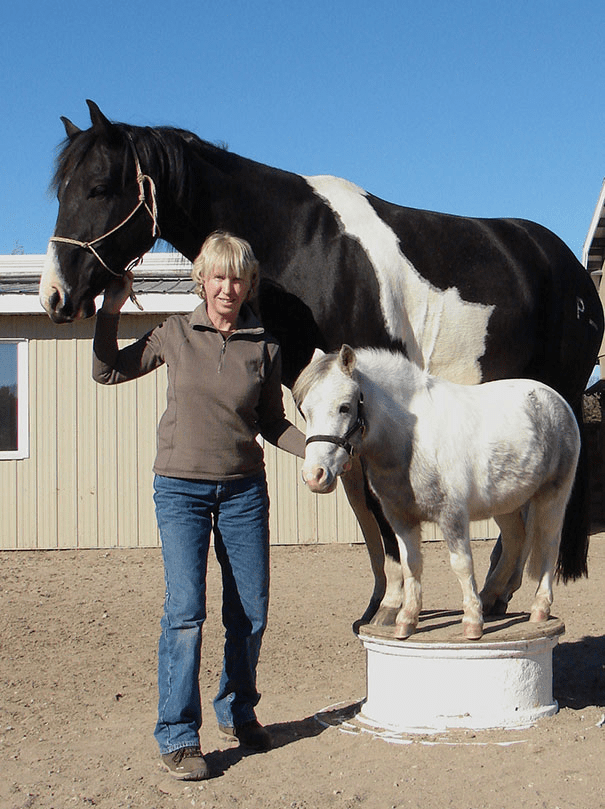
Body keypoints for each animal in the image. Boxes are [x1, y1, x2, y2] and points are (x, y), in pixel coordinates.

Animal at [292, 344, 580, 640]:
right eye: (304, 410)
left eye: (344, 407)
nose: (315, 475)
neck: (411, 439)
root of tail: (554, 399)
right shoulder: (400, 518)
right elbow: (411, 564)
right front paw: (406, 620)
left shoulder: (452, 515)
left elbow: (462, 564)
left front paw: (472, 624)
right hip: (506, 504)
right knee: (515, 541)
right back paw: (491, 600)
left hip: (553, 497)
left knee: (548, 545)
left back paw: (539, 608)